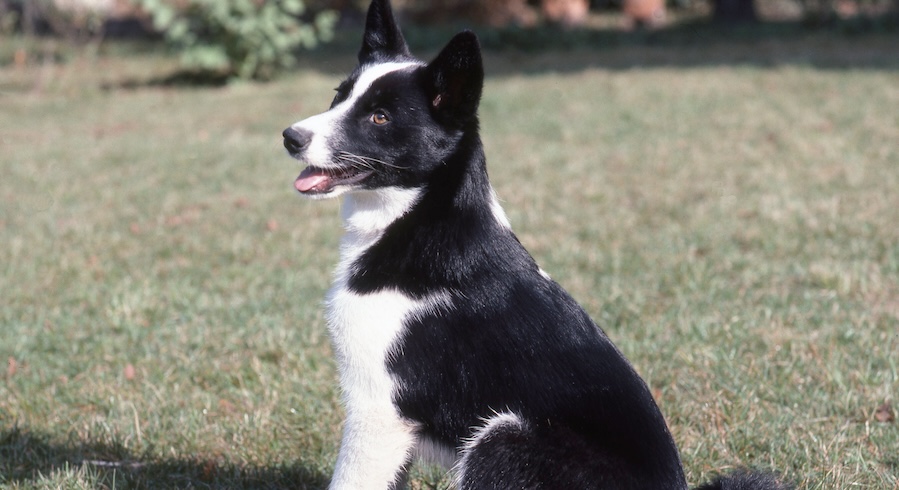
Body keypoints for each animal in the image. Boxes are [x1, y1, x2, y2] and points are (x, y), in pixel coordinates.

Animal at [282, 1, 788, 488]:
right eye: (338, 96)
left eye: (380, 116)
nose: (290, 137)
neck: (421, 219)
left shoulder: (378, 414)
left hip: (503, 436)